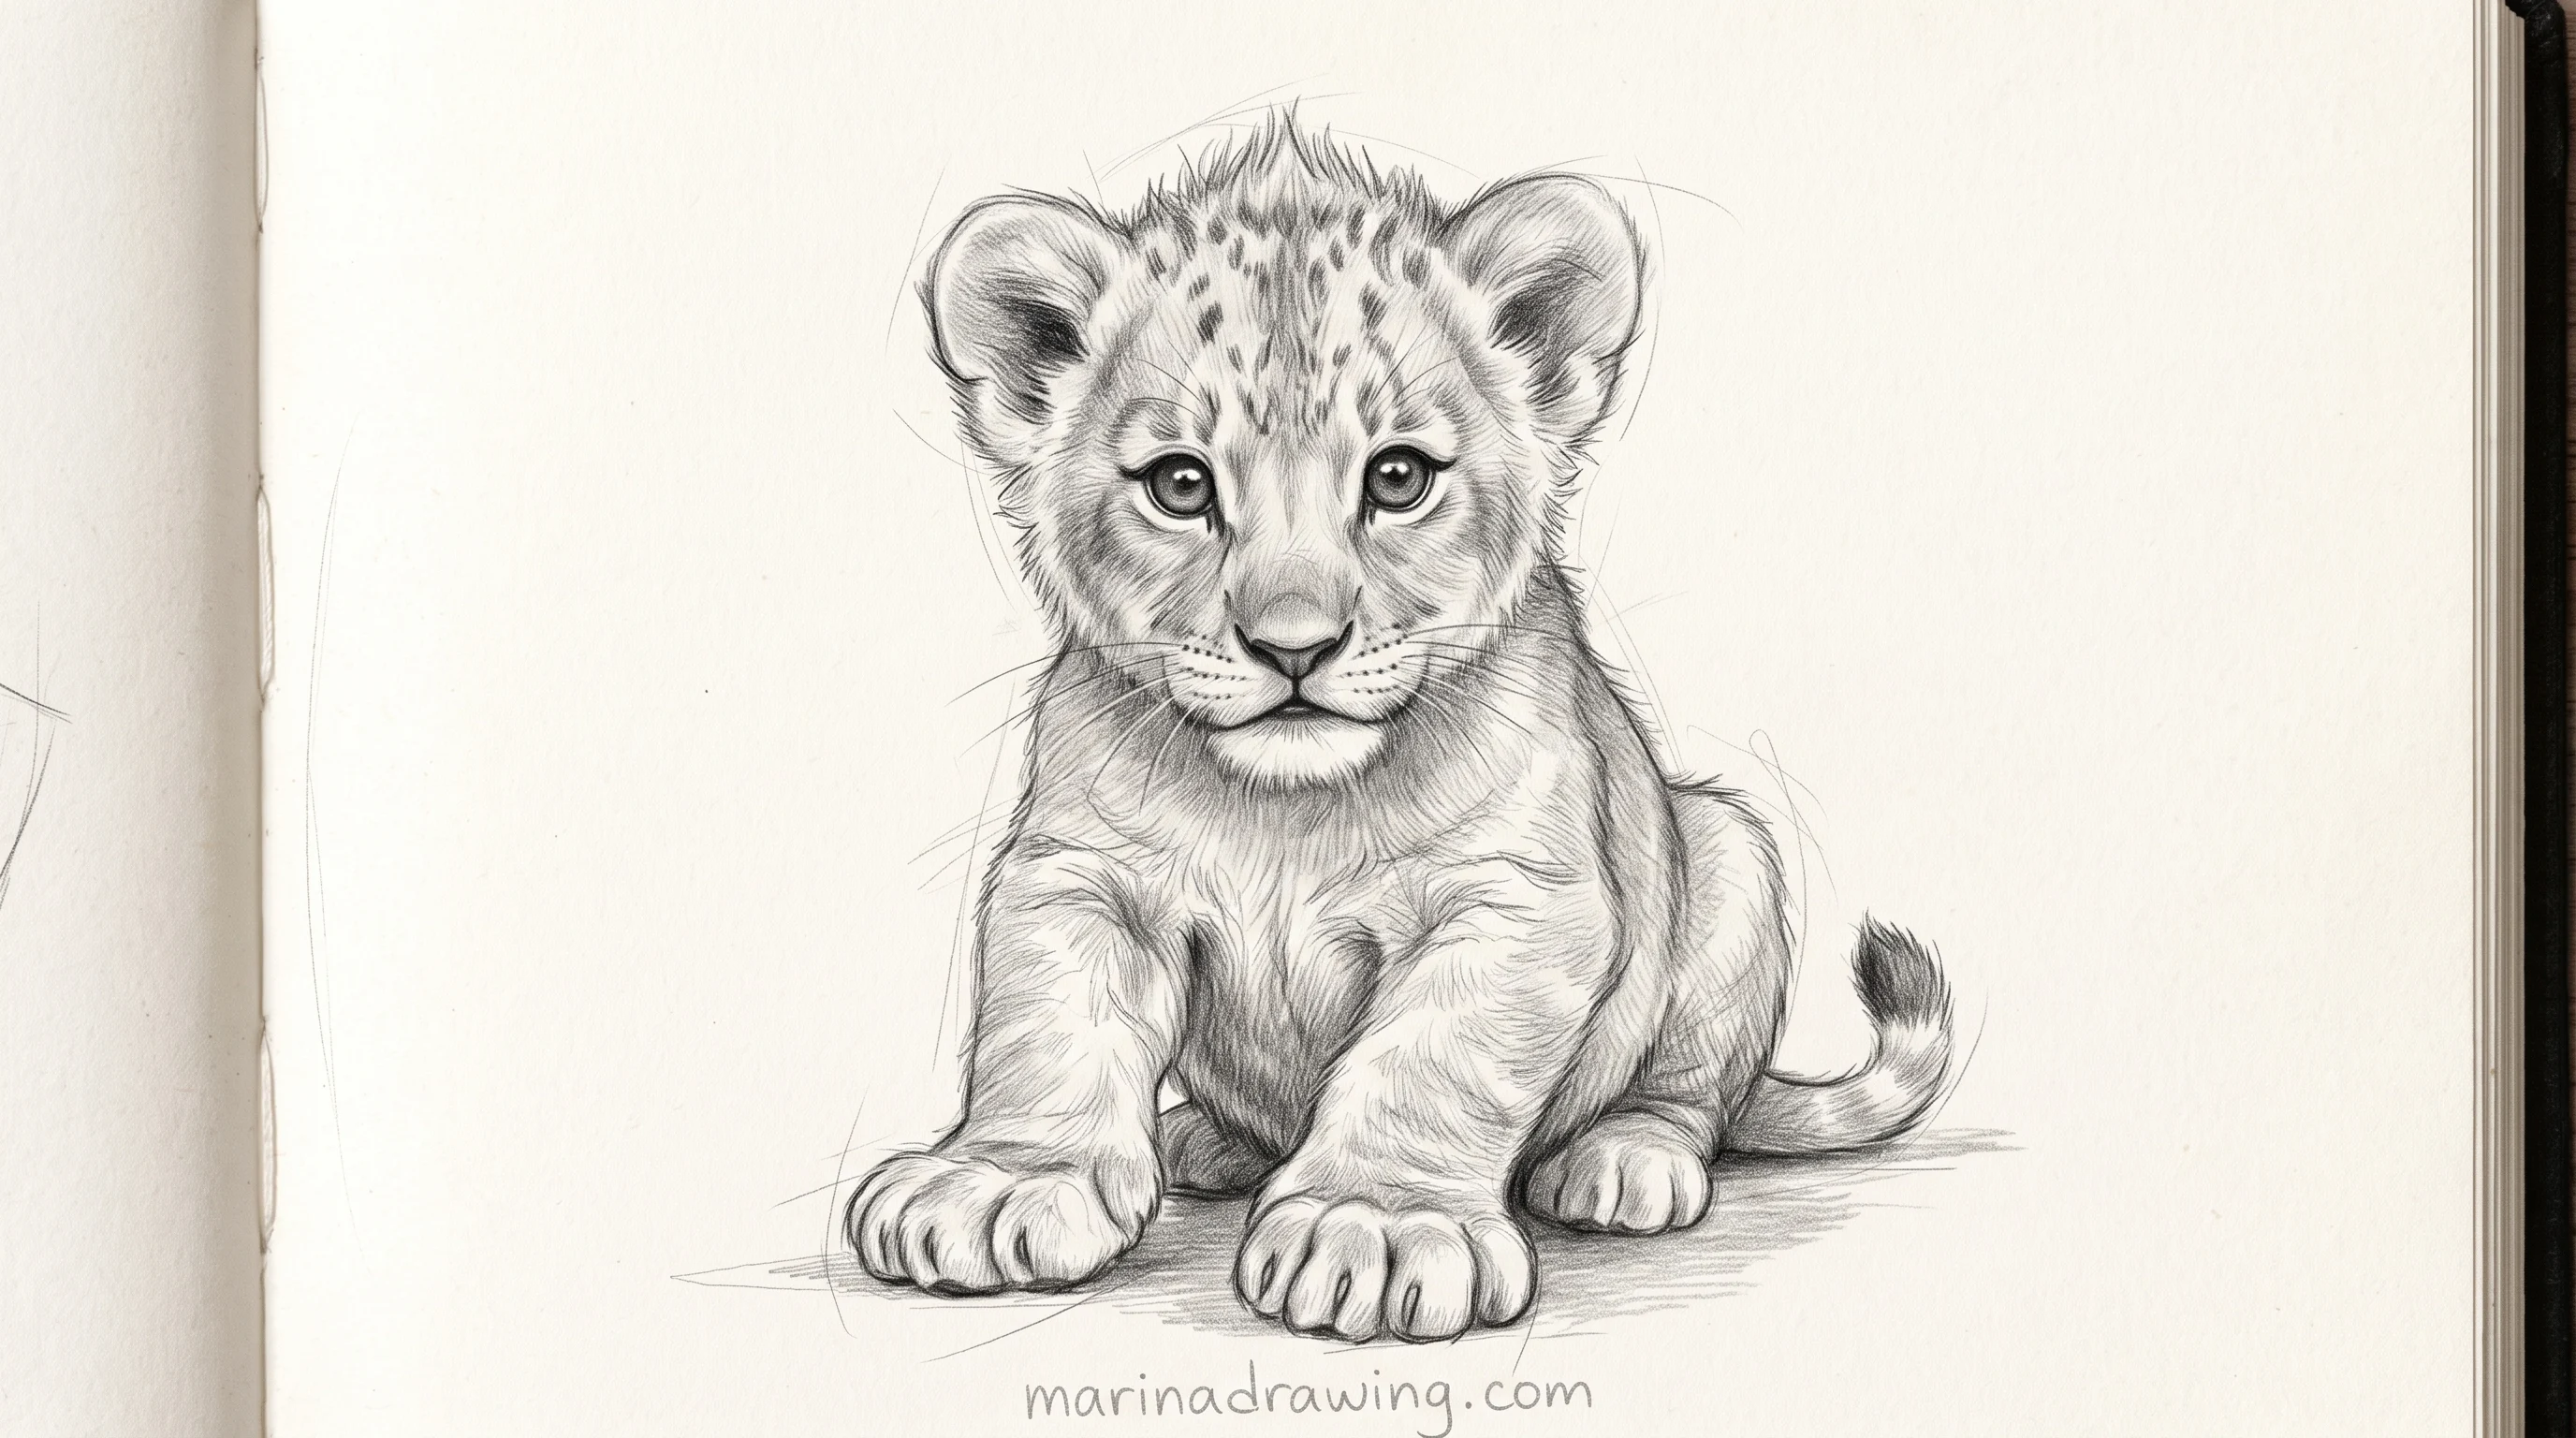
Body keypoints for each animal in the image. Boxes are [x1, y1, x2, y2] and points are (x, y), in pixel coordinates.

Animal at [846, 114, 1952, 1342]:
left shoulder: (1513, 897)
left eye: (1398, 478)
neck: (1284, 811)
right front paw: (1000, 1179)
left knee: (1692, 1085)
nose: (1292, 647)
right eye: (1179, 485)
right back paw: (1204, 1141)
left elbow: (1430, 1058)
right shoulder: (1080, 877)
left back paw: (1622, 1161)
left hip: (1726, 847)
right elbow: (1046, 1028)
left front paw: (1371, 1224)